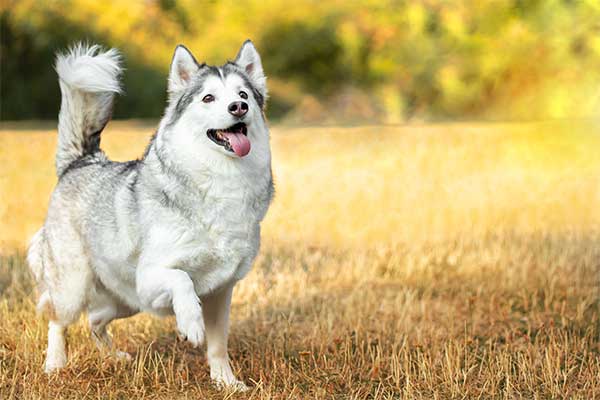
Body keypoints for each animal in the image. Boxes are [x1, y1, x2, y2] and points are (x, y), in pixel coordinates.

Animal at [27, 39, 274, 390]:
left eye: (244, 95)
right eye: (208, 98)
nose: (238, 108)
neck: (221, 181)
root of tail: (83, 161)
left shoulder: (220, 293)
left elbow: (217, 346)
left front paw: (227, 383)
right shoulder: (150, 278)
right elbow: (183, 280)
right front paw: (190, 324)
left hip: (125, 301)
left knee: (95, 321)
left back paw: (115, 357)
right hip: (75, 289)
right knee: (57, 320)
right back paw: (54, 364)